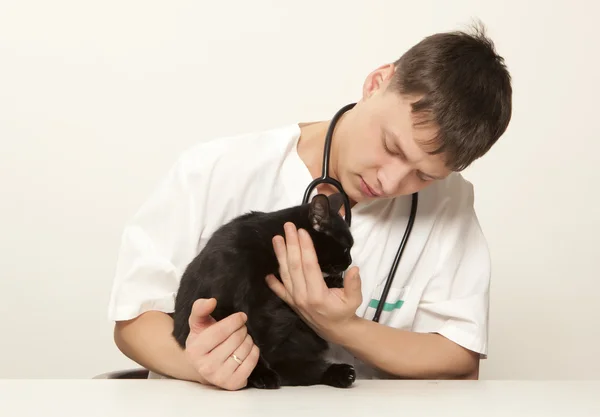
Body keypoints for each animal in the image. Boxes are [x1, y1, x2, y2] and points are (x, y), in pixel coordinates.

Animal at [170, 193, 356, 388]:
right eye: (345, 247)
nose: (350, 261)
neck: (269, 238)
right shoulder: (225, 305)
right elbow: (251, 343)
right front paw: (262, 374)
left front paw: (333, 281)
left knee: (304, 370)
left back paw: (341, 373)